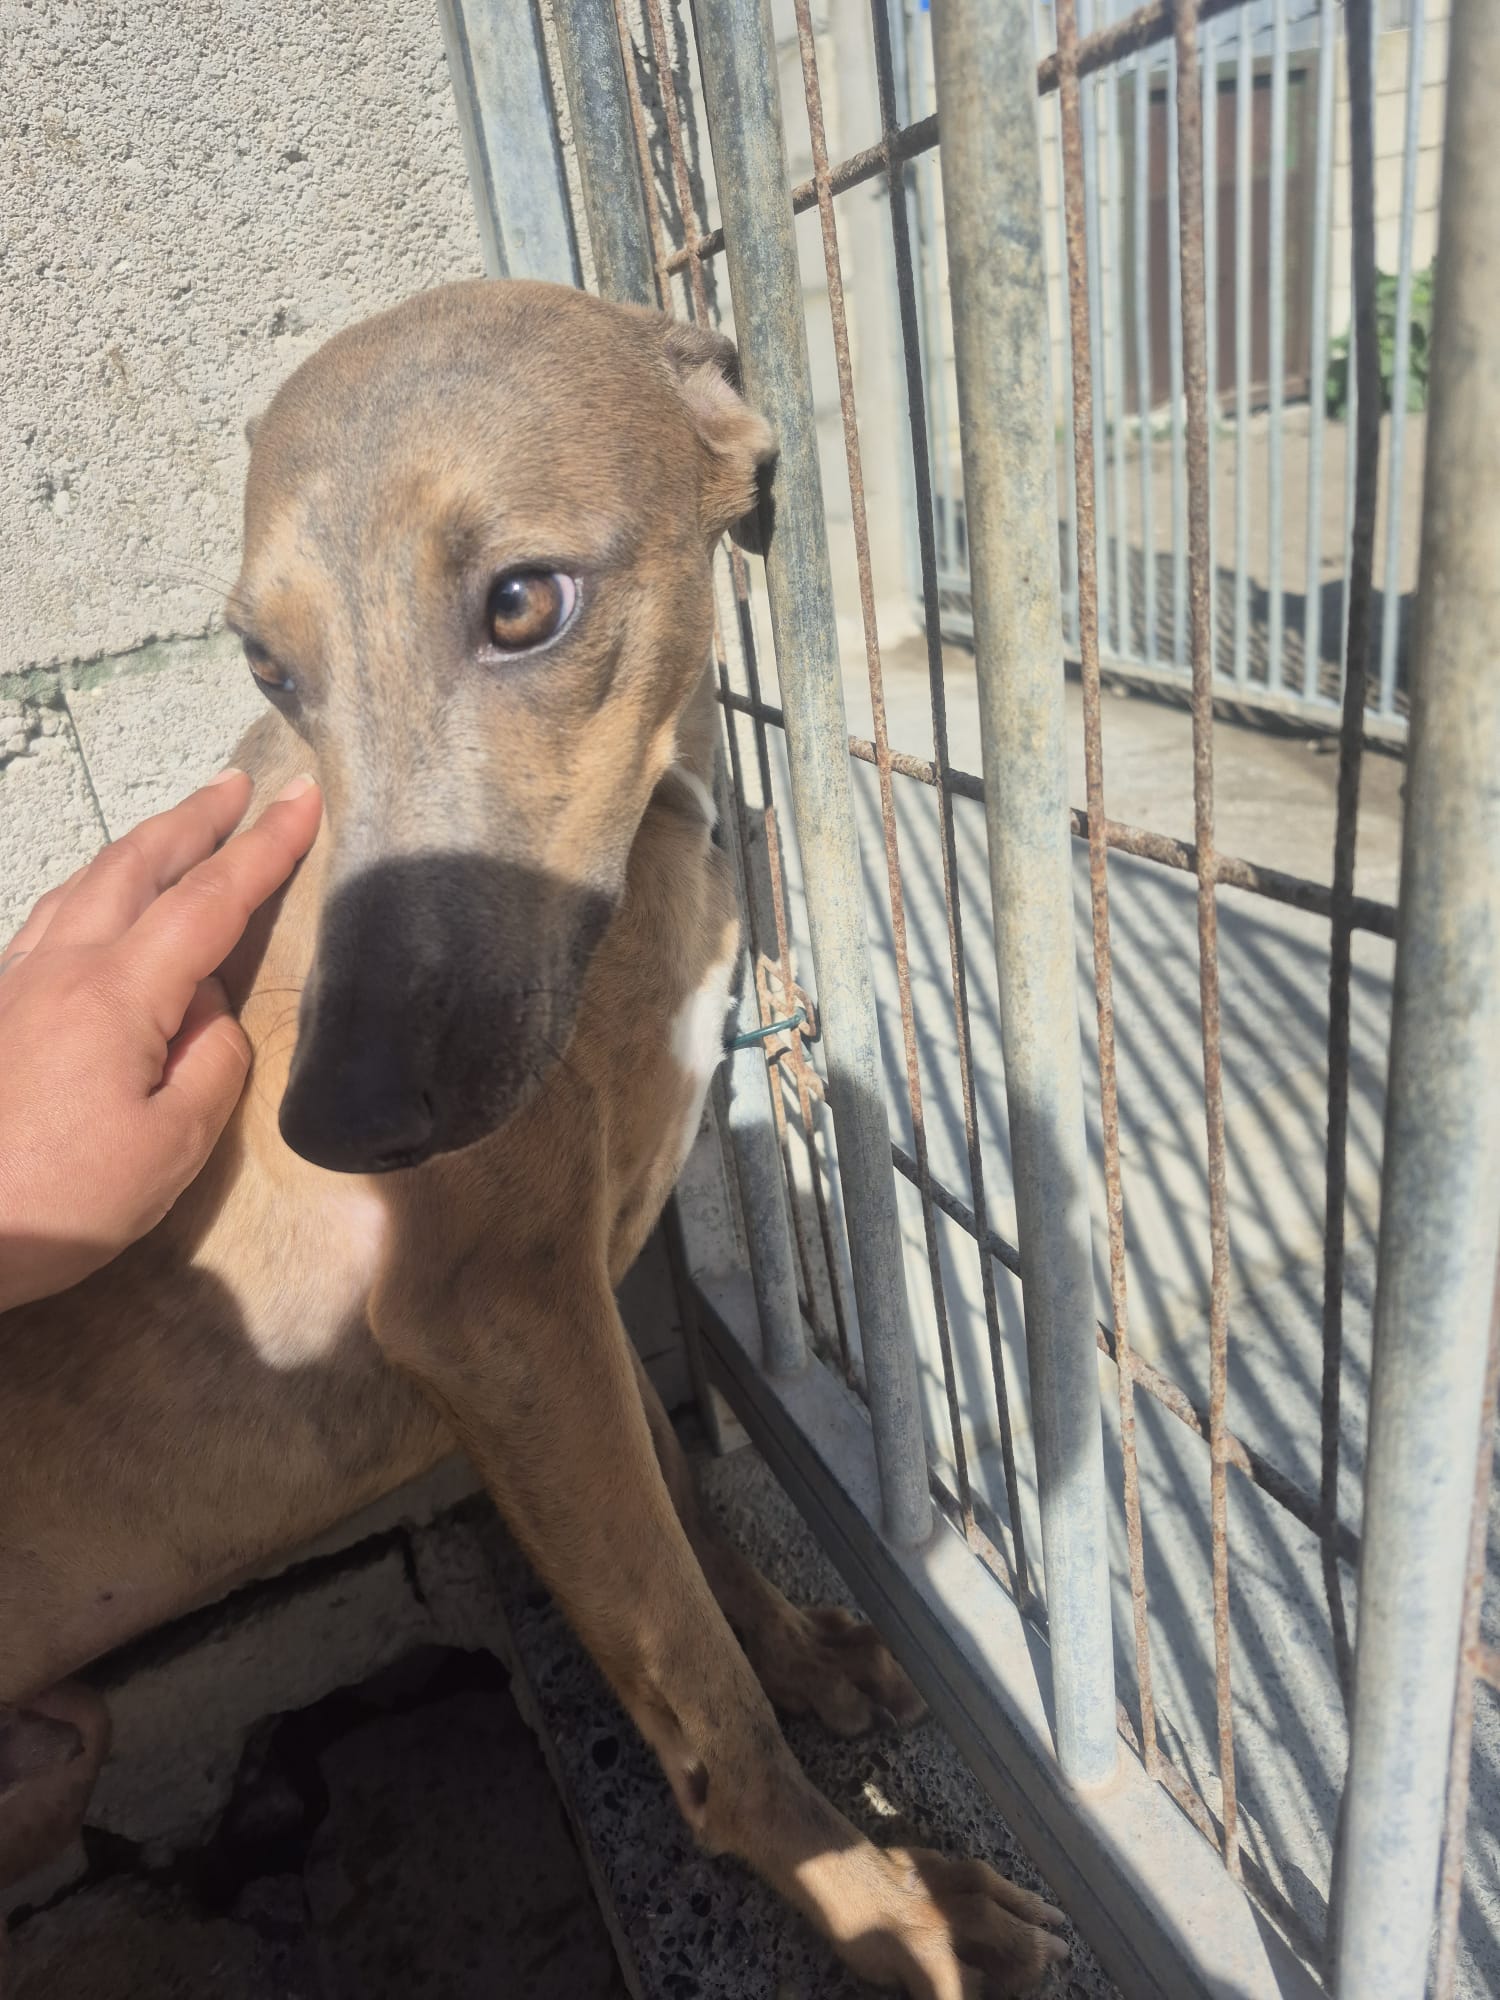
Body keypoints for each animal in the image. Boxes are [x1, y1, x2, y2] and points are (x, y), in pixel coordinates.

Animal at [0, 280, 1068, 1996]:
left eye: (521, 605)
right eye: (269, 666)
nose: (333, 1121)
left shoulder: (571, 1307)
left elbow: (688, 1527)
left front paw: (809, 1659)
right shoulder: (492, 1316)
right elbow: (691, 1677)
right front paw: (893, 1911)